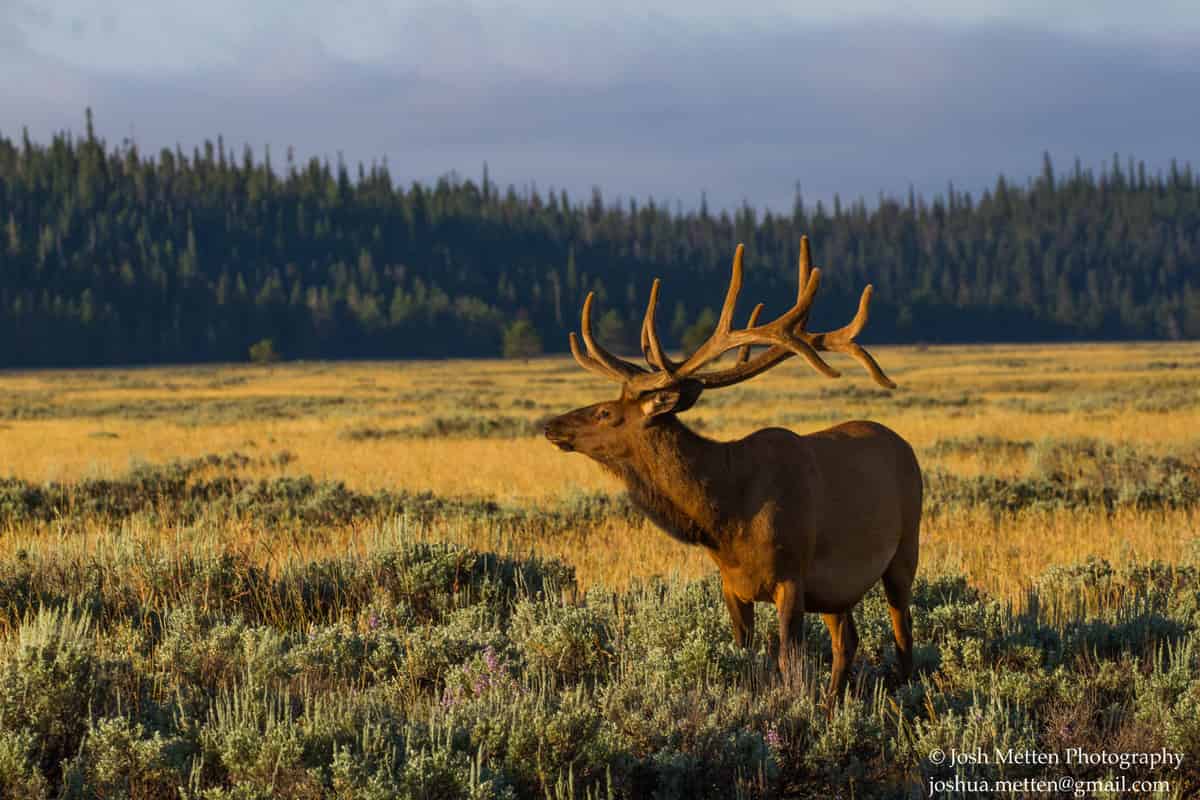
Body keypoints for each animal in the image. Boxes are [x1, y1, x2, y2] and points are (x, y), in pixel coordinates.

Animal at [549, 236, 921, 705]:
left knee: (903, 635)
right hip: (836, 590)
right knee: (847, 640)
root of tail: (903, 444)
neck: (727, 515)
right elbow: (744, 654)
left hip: (905, 549)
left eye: (605, 412)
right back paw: (833, 702)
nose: (551, 425)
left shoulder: (792, 575)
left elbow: (788, 662)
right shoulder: (732, 584)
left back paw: (905, 691)